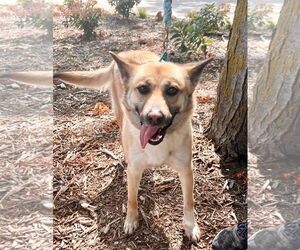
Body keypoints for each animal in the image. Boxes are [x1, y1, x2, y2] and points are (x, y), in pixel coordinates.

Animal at [1, 49, 212, 241]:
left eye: (172, 90)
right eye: (143, 88)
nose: (154, 117)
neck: (158, 143)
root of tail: (127, 53)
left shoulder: (186, 171)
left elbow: (189, 202)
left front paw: (191, 226)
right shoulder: (134, 171)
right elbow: (131, 199)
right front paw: (131, 220)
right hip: (119, 114)